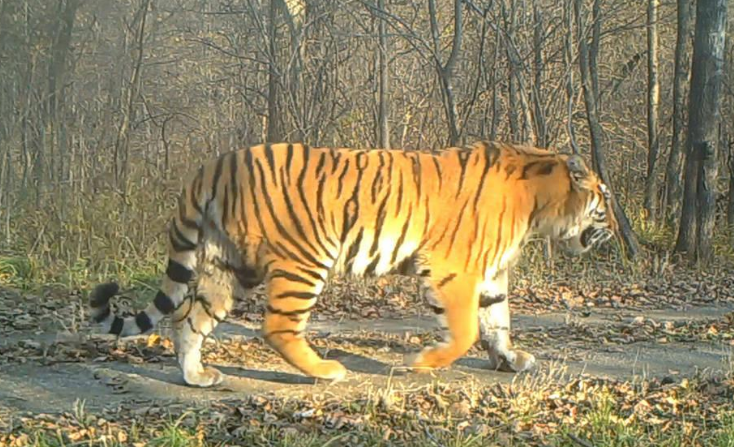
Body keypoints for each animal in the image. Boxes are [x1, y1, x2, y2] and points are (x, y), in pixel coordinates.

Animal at [89, 140, 617, 387]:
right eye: (604, 202)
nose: (616, 228)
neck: (539, 204)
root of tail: (213, 165)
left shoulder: (488, 274)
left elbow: (498, 320)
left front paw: (510, 359)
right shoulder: (454, 270)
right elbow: (466, 330)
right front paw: (421, 363)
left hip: (228, 267)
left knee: (188, 320)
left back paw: (197, 376)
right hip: (305, 258)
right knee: (276, 327)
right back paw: (326, 371)